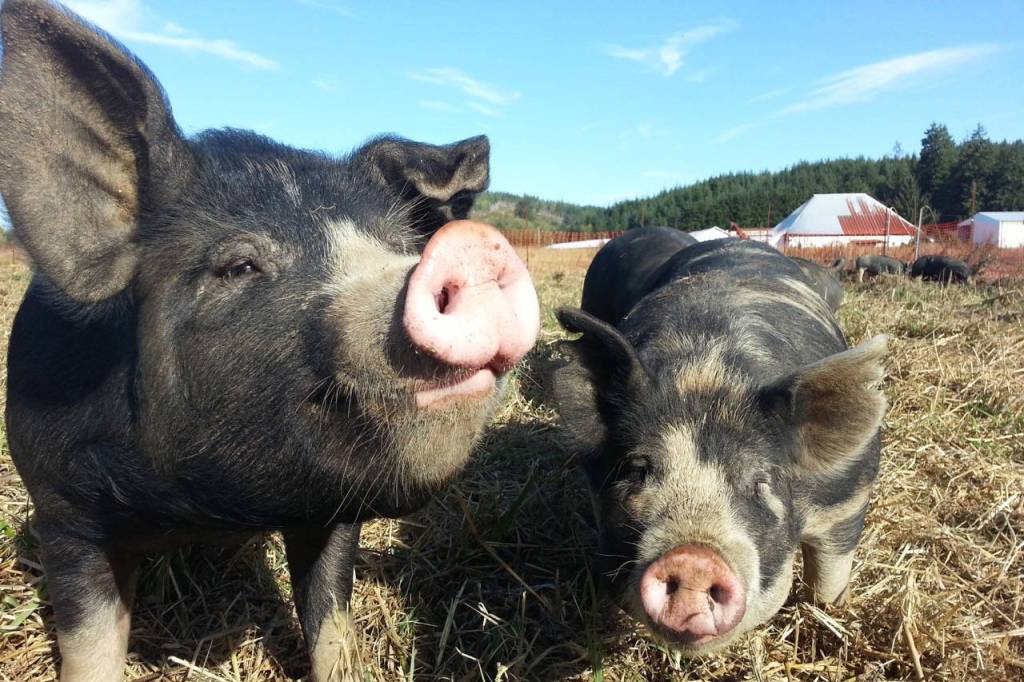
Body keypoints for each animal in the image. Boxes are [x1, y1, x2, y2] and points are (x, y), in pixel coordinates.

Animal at [0, 1, 539, 681]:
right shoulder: (61, 508)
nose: (468, 250)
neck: (202, 512)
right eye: (239, 266)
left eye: (399, 246)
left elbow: (331, 620)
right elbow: (90, 645)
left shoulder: (332, 515)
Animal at [552, 237, 886, 655]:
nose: (693, 560)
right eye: (637, 469)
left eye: (761, 481)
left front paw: (828, 614)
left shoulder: (849, 497)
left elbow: (828, 581)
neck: (707, 372)